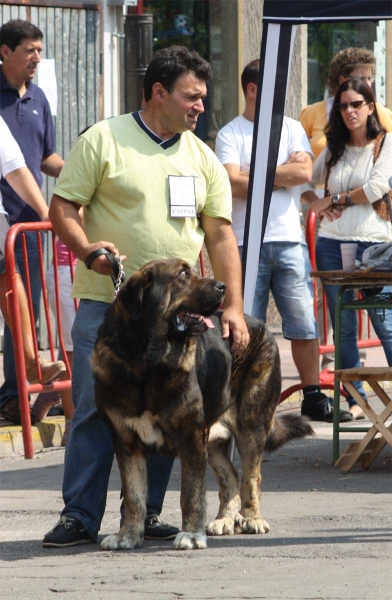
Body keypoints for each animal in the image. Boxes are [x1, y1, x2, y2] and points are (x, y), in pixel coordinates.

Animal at [91, 258, 312, 548]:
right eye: (183, 275)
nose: (222, 286)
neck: (147, 362)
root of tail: (260, 325)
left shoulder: (191, 435)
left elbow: (191, 492)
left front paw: (191, 535)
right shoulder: (127, 442)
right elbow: (134, 496)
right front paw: (127, 535)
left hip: (251, 426)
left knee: (251, 477)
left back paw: (252, 518)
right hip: (213, 438)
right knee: (231, 475)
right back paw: (225, 520)